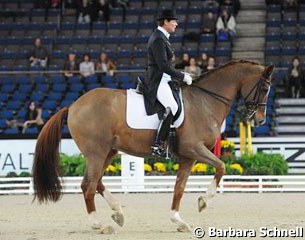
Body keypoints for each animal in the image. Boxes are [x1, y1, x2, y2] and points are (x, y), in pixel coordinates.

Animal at [31, 60, 274, 234]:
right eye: (264, 88)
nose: (260, 120)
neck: (204, 102)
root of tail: (73, 105)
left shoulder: (188, 157)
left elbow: (179, 188)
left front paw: (178, 221)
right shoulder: (194, 149)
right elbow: (222, 167)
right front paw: (203, 202)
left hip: (108, 152)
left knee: (95, 182)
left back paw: (118, 213)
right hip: (97, 153)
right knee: (88, 186)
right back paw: (99, 225)